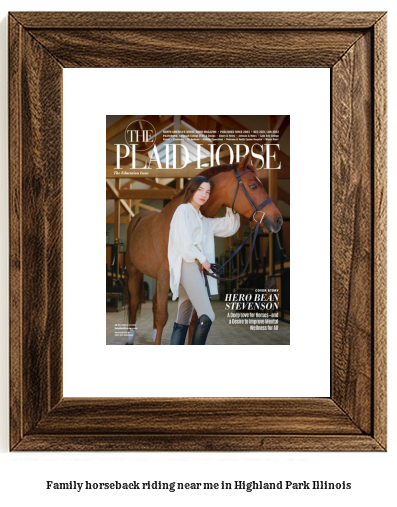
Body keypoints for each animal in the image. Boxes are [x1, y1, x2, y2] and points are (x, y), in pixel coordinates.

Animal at [124, 155, 282, 346]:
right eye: (253, 186)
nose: (278, 219)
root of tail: (137, 218)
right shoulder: (164, 275)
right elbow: (163, 316)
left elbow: (193, 320)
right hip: (135, 272)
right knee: (134, 302)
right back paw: (130, 337)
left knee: (153, 303)